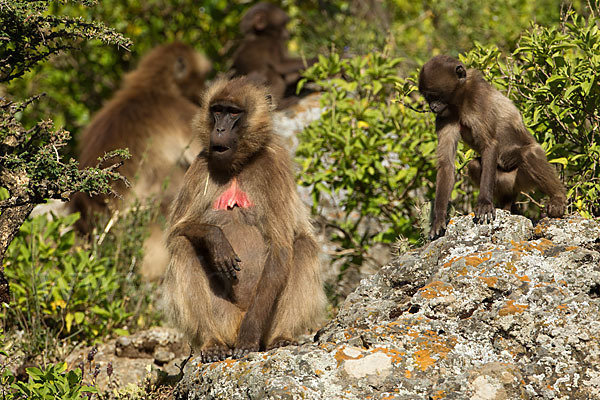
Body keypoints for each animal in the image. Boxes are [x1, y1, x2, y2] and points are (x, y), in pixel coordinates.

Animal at [162, 76, 326, 360]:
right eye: (217, 110)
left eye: (233, 113)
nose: (219, 129)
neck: (239, 166)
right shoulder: (200, 166)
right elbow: (177, 231)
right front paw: (216, 240)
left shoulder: (274, 163)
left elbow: (281, 247)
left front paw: (249, 339)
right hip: (224, 317)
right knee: (182, 246)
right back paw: (212, 342)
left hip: (263, 321)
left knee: (303, 245)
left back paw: (280, 338)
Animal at [420, 54, 564, 239]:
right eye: (428, 97)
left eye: (435, 95)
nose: (432, 107)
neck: (461, 100)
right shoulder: (444, 116)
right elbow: (446, 163)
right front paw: (438, 218)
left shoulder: (478, 98)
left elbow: (490, 144)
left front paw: (485, 203)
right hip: (508, 182)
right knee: (475, 165)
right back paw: (507, 205)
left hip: (521, 178)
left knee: (530, 154)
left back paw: (558, 199)